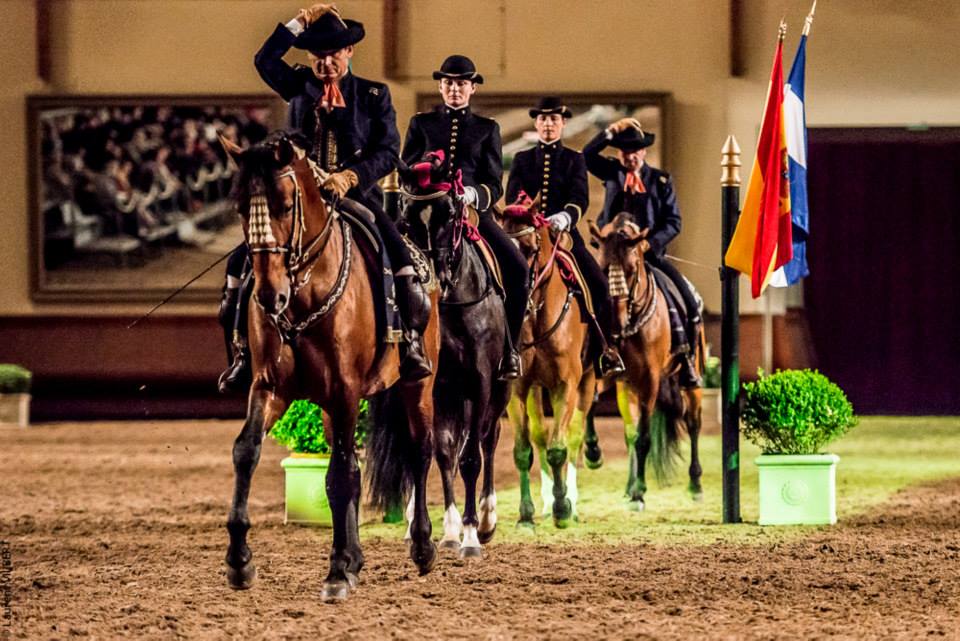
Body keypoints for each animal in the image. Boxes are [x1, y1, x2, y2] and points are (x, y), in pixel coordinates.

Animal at [220, 134, 438, 600]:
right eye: (241, 208)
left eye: (286, 205)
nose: (270, 296)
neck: (303, 295)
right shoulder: (270, 387)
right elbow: (247, 452)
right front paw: (239, 561)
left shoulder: (344, 391)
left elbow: (340, 475)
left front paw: (337, 569)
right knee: (351, 464)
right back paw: (357, 556)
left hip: (418, 386)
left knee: (420, 451)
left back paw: (423, 546)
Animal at [370, 159, 510, 556]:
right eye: (406, 217)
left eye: (450, 212)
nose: (436, 276)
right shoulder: (432, 384)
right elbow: (439, 450)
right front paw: (449, 530)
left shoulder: (480, 381)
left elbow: (472, 457)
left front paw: (472, 536)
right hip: (449, 393)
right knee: (448, 448)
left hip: (498, 389)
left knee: (488, 439)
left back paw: (487, 519)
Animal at [502, 201, 592, 528]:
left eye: (529, 249)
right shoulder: (518, 387)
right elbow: (523, 450)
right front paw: (526, 514)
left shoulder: (566, 385)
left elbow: (558, 449)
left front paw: (562, 508)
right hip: (535, 390)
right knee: (540, 435)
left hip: (588, 382)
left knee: (574, 438)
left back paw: (571, 502)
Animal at [588, 215, 700, 510]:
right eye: (603, 268)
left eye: (631, 269)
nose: (615, 325)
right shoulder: (605, 373)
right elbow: (592, 404)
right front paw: (593, 452)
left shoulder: (650, 382)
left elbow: (645, 438)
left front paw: (640, 491)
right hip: (627, 388)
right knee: (630, 433)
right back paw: (629, 485)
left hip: (690, 380)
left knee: (692, 422)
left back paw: (695, 484)